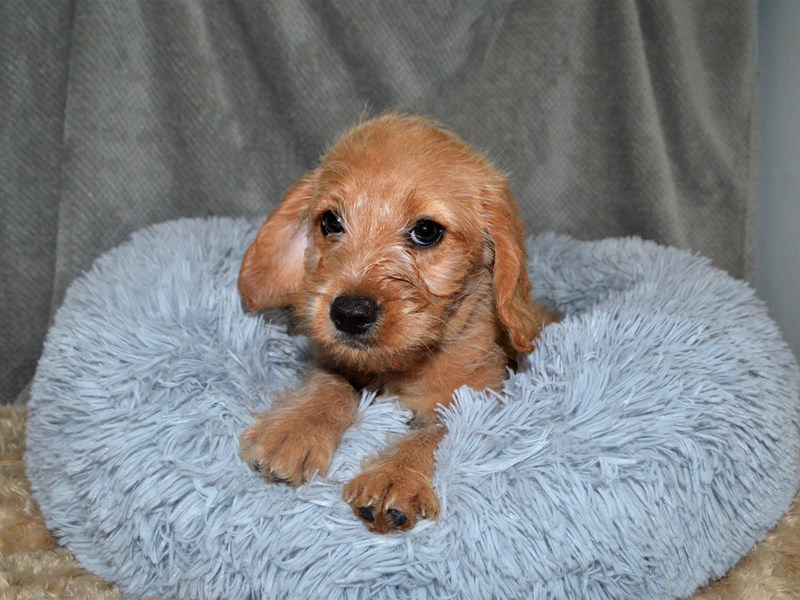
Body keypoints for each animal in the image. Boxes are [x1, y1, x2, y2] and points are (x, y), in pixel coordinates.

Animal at [236, 113, 556, 536]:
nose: (349, 313)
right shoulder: (336, 360)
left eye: (426, 231)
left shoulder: (480, 396)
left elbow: (435, 431)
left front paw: (396, 475)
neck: (401, 366)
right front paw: (295, 428)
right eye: (331, 222)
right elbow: (331, 383)